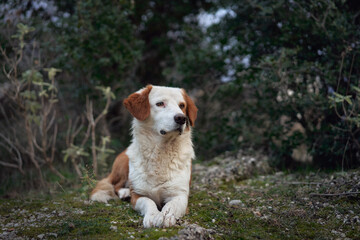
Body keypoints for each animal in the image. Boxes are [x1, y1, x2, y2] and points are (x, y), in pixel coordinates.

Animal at [89, 85, 197, 228]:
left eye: (182, 105)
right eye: (160, 104)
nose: (181, 118)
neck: (160, 151)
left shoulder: (180, 195)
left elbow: (171, 205)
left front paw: (165, 216)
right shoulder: (138, 196)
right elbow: (148, 202)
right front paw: (152, 216)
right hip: (124, 164)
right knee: (116, 185)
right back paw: (125, 192)